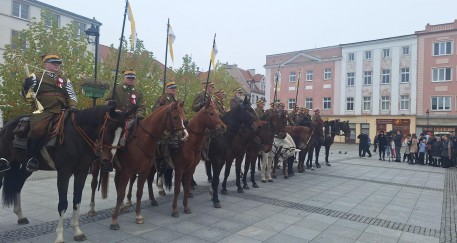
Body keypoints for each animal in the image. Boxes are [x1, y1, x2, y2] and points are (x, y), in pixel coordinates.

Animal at [0, 106, 128, 243]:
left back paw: (20, 216)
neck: (77, 137)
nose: (107, 161)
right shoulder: (64, 173)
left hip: (25, 168)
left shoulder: (81, 172)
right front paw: (59, 236)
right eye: (109, 129)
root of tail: (6, 125)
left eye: (122, 133)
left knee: (17, 186)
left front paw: (77, 231)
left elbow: (77, 200)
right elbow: (62, 203)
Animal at [108, 100, 187, 230]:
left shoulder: (144, 171)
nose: (185, 135)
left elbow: (139, 192)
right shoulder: (127, 171)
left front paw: (138, 216)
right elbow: (120, 193)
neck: (142, 140)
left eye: (184, 117)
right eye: (175, 117)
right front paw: (114, 220)